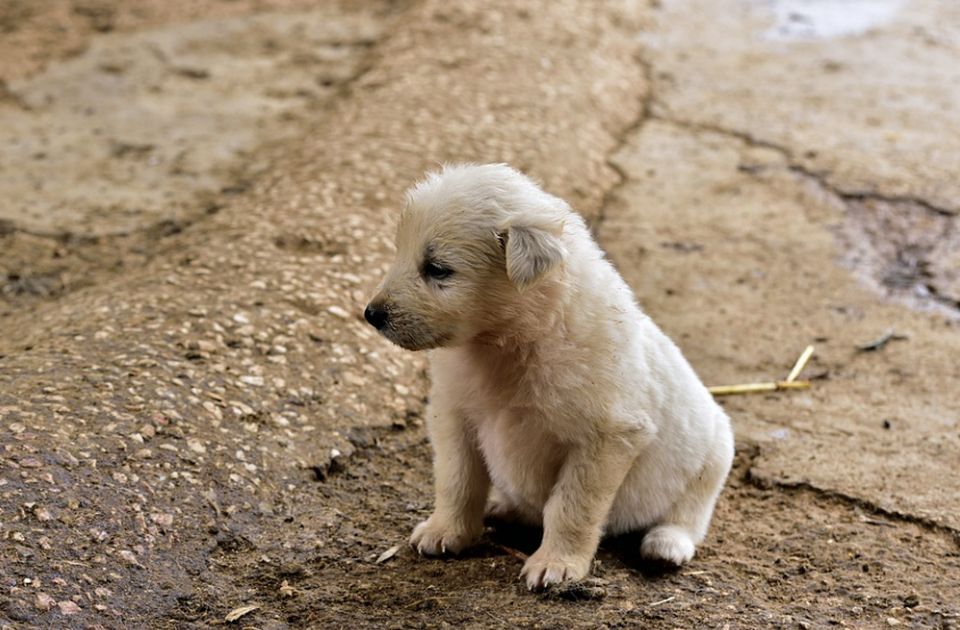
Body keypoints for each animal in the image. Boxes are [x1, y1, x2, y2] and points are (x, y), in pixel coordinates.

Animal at [368, 164, 736, 592]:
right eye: (400, 253)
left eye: (438, 269)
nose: (371, 315)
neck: (510, 341)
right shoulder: (453, 413)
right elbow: (457, 479)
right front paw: (446, 531)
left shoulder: (608, 437)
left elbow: (571, 506)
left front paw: (556, 565)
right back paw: (503, 508)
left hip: (713, 457)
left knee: (689, 515)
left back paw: (665, 545)